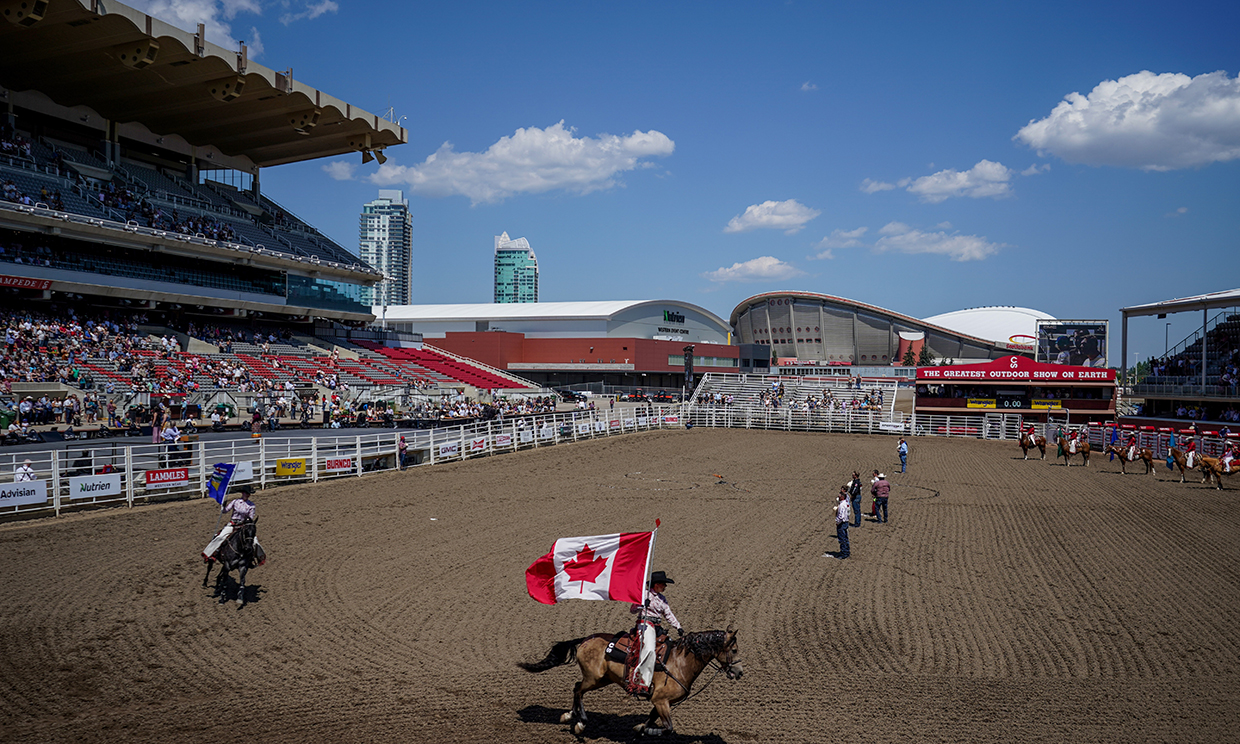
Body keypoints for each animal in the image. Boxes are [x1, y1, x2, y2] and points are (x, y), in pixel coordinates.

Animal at [518, 627, 739, 739]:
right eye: (735, 650)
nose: (739, 672)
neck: (679, 662)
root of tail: (588, 638)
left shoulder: (659, 701)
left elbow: (652, 718)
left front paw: (640, 728)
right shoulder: (661, 701)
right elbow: (668, 727)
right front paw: (646, 730)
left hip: (602, 679)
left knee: (575, 688)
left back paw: (569, 716)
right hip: (594, 678)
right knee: (578, 690)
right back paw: (580, 722)